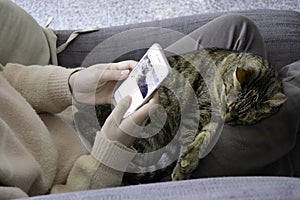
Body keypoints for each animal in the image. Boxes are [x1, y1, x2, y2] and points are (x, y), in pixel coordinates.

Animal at [74, 47, 288, 184]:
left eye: (240, 118)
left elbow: (204, 137)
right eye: (228, 106)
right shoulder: (198, 109)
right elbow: (190, 136)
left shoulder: (211, 117)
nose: (227, 119)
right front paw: (182, 167)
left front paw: (189, 160)